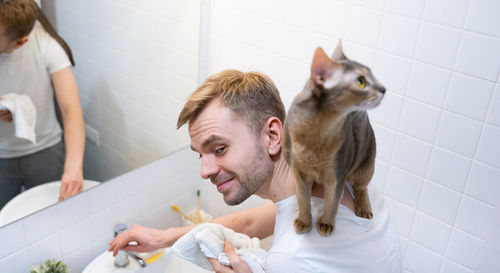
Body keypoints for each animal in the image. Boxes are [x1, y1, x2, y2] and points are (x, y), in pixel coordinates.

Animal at [284, 41, 384, 235]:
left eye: (372, 74)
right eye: (360, 82)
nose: (383, 89)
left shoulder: (337, 175)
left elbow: (332, 202)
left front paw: (326, 223)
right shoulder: (298, 172)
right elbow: (302, 199)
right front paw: (304, 221)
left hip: (366, 165)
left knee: (362, 187)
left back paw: (364, 209)